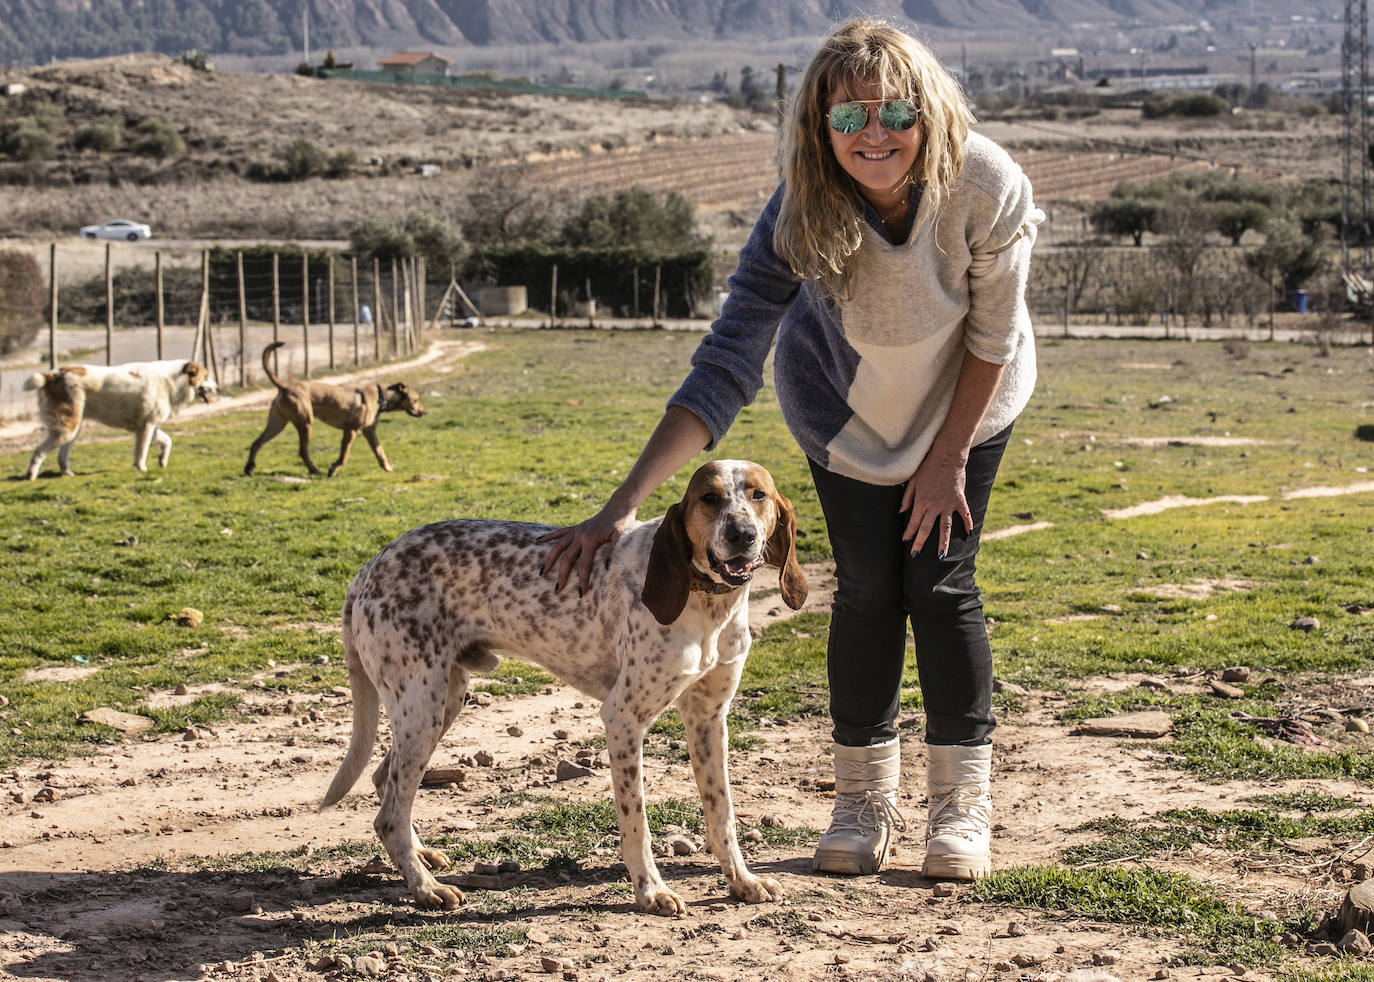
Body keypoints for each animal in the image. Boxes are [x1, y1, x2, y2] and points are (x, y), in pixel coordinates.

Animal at [24, 359, 215, 483]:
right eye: (206, 376)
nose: (218, 387)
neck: (173, 379)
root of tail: (53, 374)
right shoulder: (147, 427)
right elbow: (142, 452)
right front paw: (141, 468)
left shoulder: (149, 426)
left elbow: (167, 441)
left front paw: (162, 460)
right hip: (66, 429)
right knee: (39, 451)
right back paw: (31, 475)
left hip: (73, 430)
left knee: (61, 456)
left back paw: (66, 473)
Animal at [243, 343, 423, 477]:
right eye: (416, 400)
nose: (424, 412)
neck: (381, 396)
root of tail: (285, 387)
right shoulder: (350, 431)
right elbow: (344, 456)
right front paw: (333, 470)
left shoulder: (369, 432)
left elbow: (380, 451)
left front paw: (387, 468)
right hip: (305, 423)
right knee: (302, 450)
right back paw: (314, 469)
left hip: (277, 423)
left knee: (256, 442)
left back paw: (249, 468)